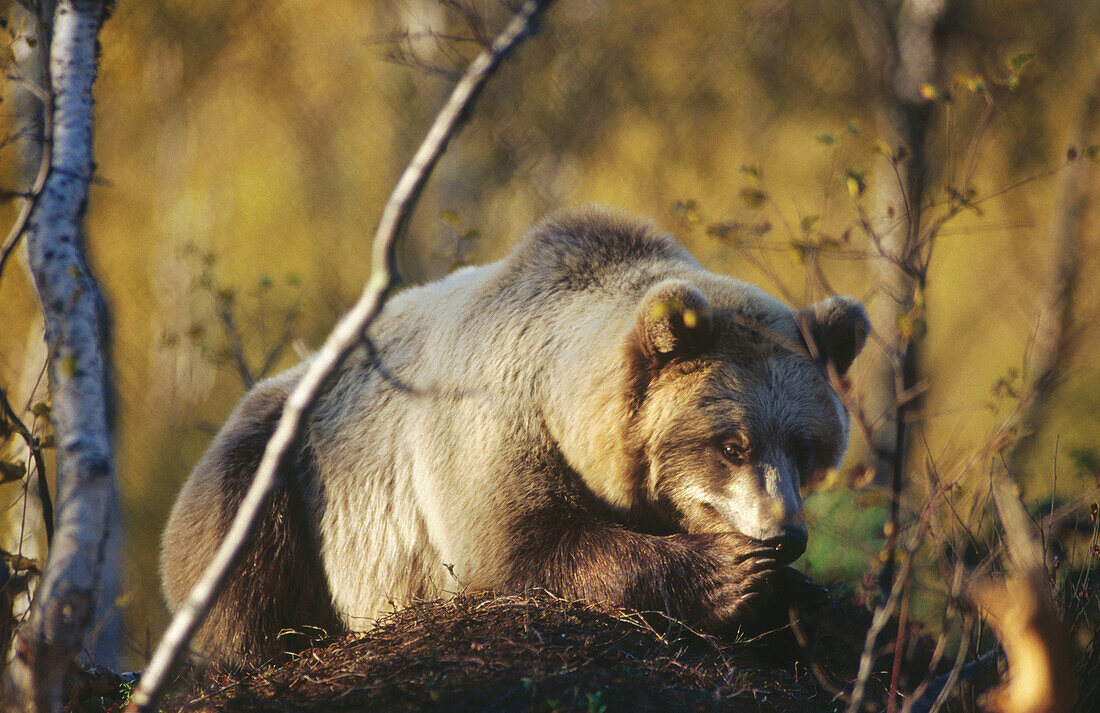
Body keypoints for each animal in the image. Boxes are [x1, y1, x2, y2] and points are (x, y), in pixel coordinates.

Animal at [160, 209, 866, 664]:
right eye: (732, 445)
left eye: (805, 446)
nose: (785, 534)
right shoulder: (485, 424)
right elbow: (517, 549)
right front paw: (733, 574)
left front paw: (798, 595)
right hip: (286, 465)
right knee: (240, 551)